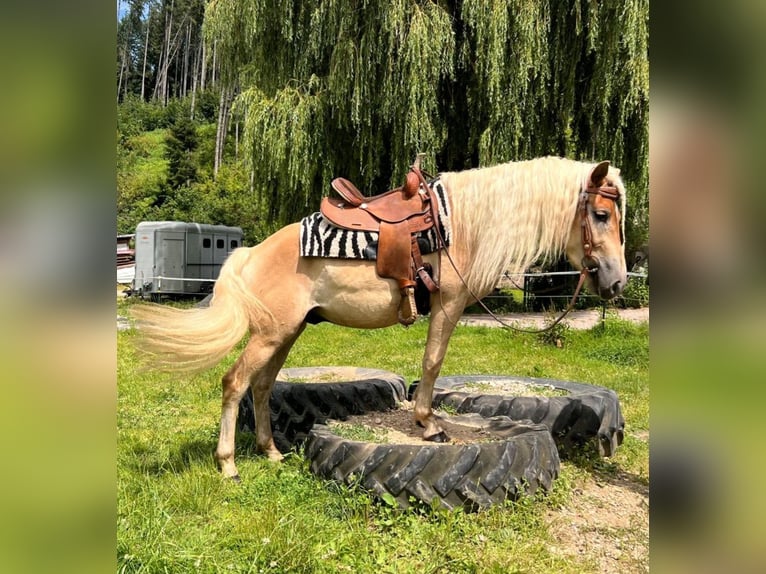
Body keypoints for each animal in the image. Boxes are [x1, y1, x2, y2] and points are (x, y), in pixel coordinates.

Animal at [135, 156, 632, 482]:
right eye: (601, 214)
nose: (617, 281)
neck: (463, 227)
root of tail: (252, 252)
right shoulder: (448, 306)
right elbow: (432, 362)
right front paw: (428, 425)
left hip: (286, 333)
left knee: (261, 385)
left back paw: (271, 452)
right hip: (272, 334)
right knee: (235, 382)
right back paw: (229, 465)